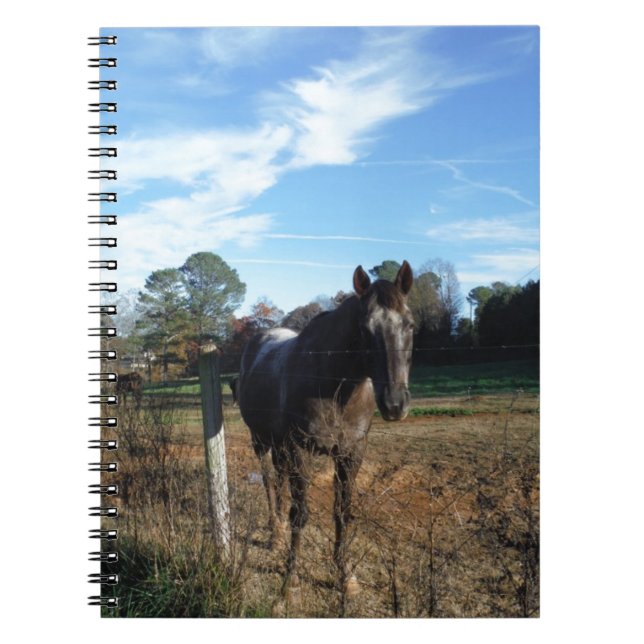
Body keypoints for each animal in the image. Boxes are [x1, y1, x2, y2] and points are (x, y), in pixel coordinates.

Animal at [239, 261, 414, 606]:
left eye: (410, 324)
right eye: (364, 329)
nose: (395, 404)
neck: (334, 384)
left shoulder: (351, 452)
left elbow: (342, 513)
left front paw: (345, 576)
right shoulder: (299, 449)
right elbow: (300, 513)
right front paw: (290, 583)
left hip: (279, 447)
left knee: (279, 481)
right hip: (262, 441)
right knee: (269, 482)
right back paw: (274, 534)